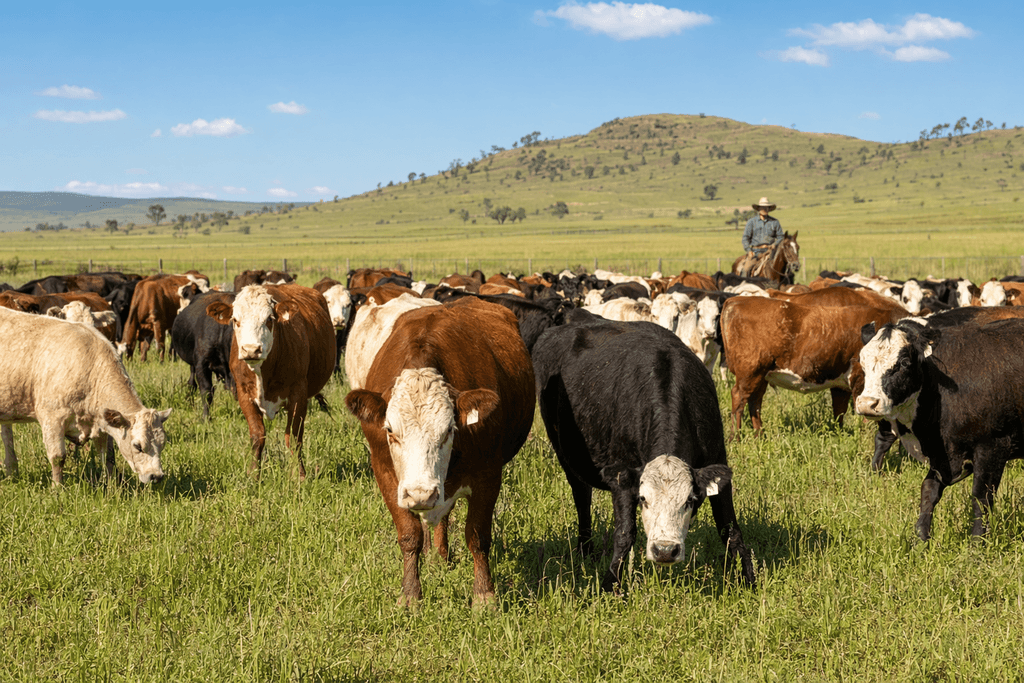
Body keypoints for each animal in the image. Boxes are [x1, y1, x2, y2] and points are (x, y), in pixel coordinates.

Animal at [0, 308, 171, 485]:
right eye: (138, 446)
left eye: (163, 443)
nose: (156, 476)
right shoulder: (52, 419)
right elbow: (57, 457)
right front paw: (57, 487)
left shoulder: (104, 423)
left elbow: (109, 457)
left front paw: (113, 485)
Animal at [206, 284, 335, 478]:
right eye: (235, 319)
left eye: (268, 319)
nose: (251, 350)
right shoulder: (244, 393)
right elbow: (257, 435)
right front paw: (254, 474)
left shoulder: (298, 393)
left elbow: (294, 436)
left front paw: (299, 475)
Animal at [344, 298, 535, 606]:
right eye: (389, 430)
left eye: (448, 430)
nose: (421, 494)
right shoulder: (385, 474)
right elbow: (409, 534)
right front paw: (410, 596)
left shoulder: (488, 475)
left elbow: (477, 536)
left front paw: (484, 596)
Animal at [532, 311, 755, 590]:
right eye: (643, 499)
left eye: (689, 500)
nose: (665, 550)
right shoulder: (623, 478)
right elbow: (624, 532)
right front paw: (611, 584)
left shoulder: (718, 460)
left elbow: (730, 529)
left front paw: (749, 580)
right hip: (565, 453)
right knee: (582, 497)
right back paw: (586, 551)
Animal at [856, 318, 1024, 540]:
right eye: (862, 363)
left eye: (904, 363)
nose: (867, 403)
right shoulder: (943, 457)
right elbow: (928, 492)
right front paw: (920, 539)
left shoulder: (992, 448)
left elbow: (981, 500)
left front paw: (977, 544)